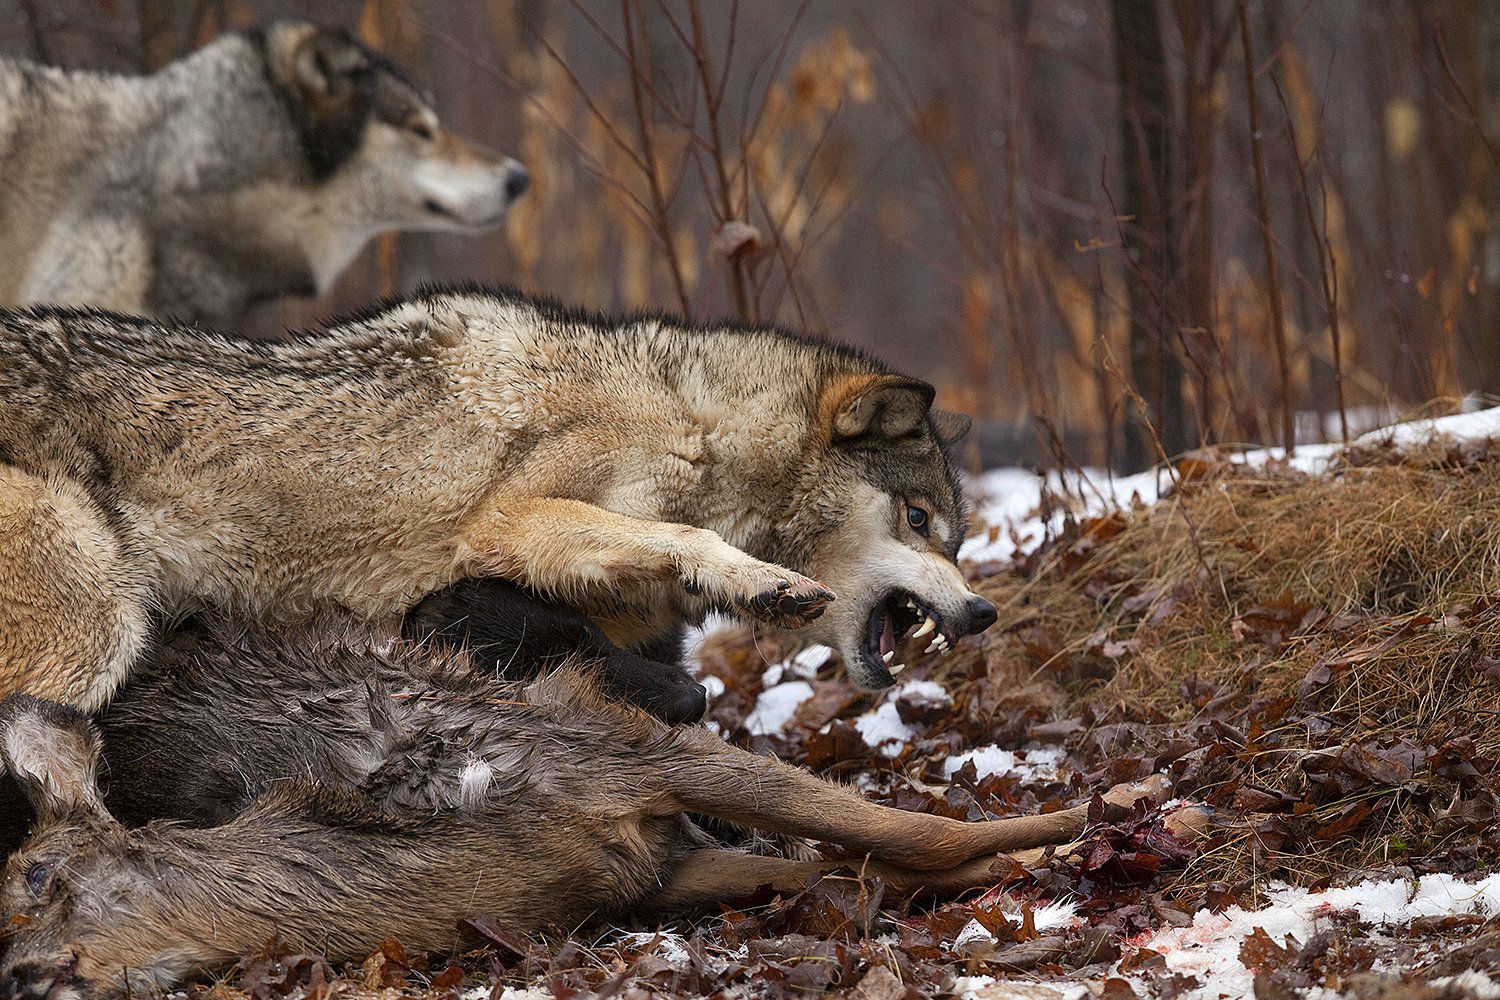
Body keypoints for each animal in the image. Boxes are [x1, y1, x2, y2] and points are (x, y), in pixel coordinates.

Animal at [0, 284, 996, 716]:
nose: (983, 612)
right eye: (920, 523)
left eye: (953, 540)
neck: (695, 423)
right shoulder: (507, 523)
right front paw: (760, 580)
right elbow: (679, 534)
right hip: (90, 637)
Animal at [0, 617, 1170, 1000]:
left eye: (35, 875)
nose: (17, 975)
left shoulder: (622, 756)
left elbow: (904, 828)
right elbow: (847, 863)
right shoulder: (646, 866)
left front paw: (1123, 808)